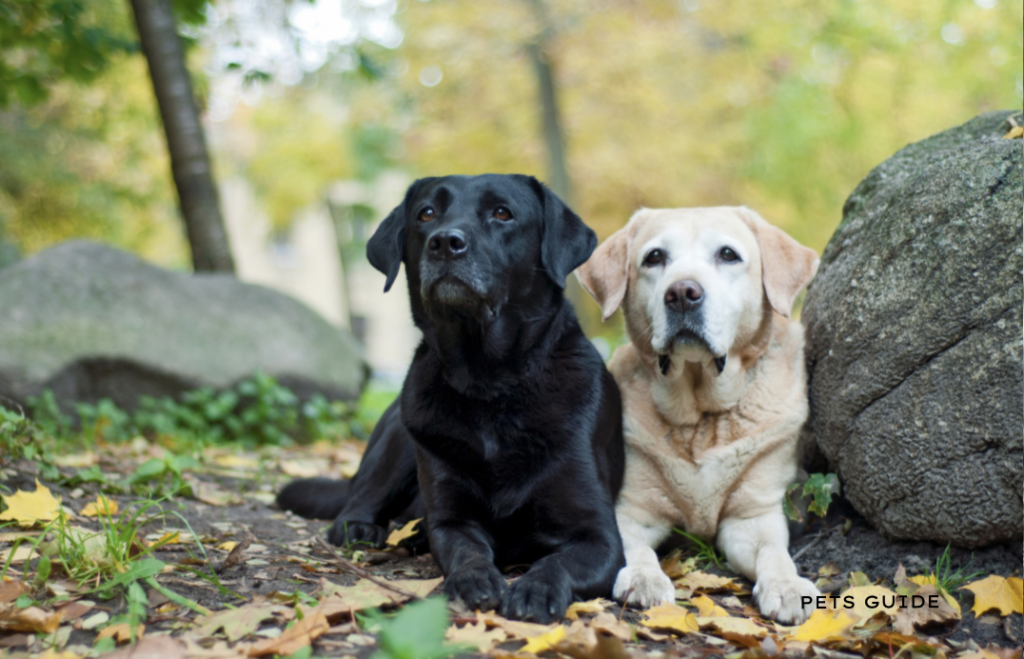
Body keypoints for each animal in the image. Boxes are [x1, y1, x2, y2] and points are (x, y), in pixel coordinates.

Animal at [276, 172, 622, 622]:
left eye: (502, 213)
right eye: (426, 214)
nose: (444, 242)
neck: (490, 386)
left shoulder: (601, 538)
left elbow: (557, 561)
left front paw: (536, 589)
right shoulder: (451, 519)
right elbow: (466, 550)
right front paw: (474, 579)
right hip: (399, 439)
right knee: (357, 500)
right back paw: (366, 527)